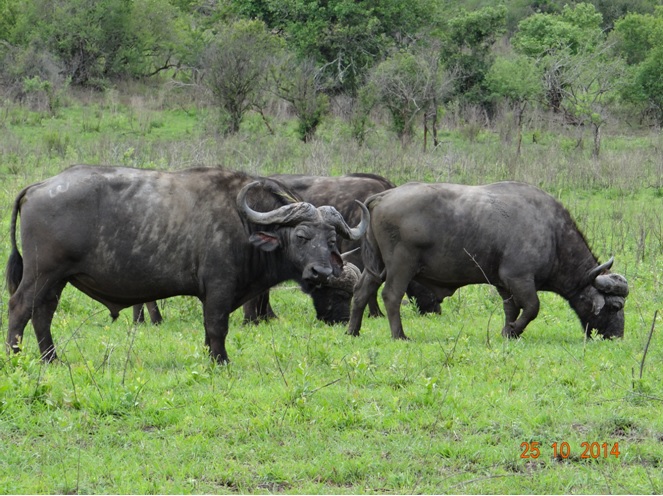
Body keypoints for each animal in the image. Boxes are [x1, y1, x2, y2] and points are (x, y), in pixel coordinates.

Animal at [6, 165, 368, 362]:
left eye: (331, 240)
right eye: (302, 236)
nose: (321, 272)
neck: (245, 224)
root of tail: (38, 187)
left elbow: (210, 332)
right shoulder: (219, 289)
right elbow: (217, 327)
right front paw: (221, 362)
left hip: (57, 279)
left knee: (43, 313)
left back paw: (51, 359)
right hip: (42, 273)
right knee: (20, 307)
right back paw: (14, 355)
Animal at [350, 181, 632, 340]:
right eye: (615, 306)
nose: (617, 336)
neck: (553, 234)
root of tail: (383, 197)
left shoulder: (503, 284)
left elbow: (511, 309)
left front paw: (508, 332)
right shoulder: (519, 278)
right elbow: (532, 307)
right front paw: (513, 330)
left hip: (376, 266)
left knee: (362, 291)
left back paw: (353, 330)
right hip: (401, 265)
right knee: (391, 296)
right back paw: (399, 335)